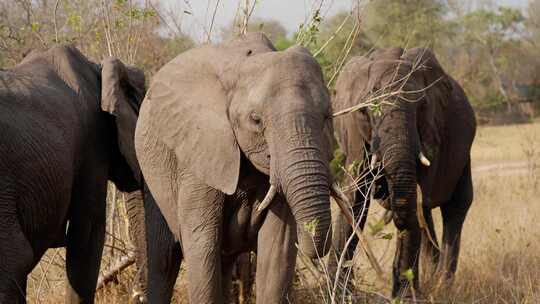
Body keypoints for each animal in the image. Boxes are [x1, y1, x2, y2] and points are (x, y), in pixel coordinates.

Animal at [134, 33, 338, 304]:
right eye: (256, 120)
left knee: (223, 262)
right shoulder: (200, 153)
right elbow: (201, 245)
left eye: (327, 116)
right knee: (164, 260)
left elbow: (278, 249)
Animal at [330, 48, 476, 300]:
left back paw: (441, 287)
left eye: (422, 107)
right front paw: (341, 294)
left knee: (454, 206)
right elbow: (355, 200)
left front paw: (406, 298)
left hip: (463, 153)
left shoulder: (431, 133)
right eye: (365, 110)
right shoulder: (354, 136)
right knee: (425, 212)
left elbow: (410, 204)